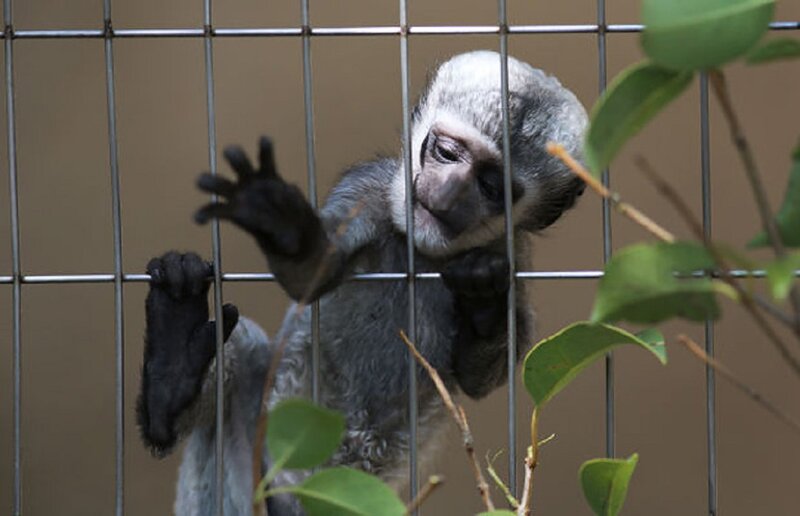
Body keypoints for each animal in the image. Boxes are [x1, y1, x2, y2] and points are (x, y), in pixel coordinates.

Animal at [136, 50, 587, 515]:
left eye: (491, 186)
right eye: (447, 152)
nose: (446, 192)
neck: (422, 250)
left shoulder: (513, 253)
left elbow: (479, 378)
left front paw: (482, 298)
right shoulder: (370, 190)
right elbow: (310, 273)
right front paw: (279, 220)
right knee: (241, 350)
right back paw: (171, 372)